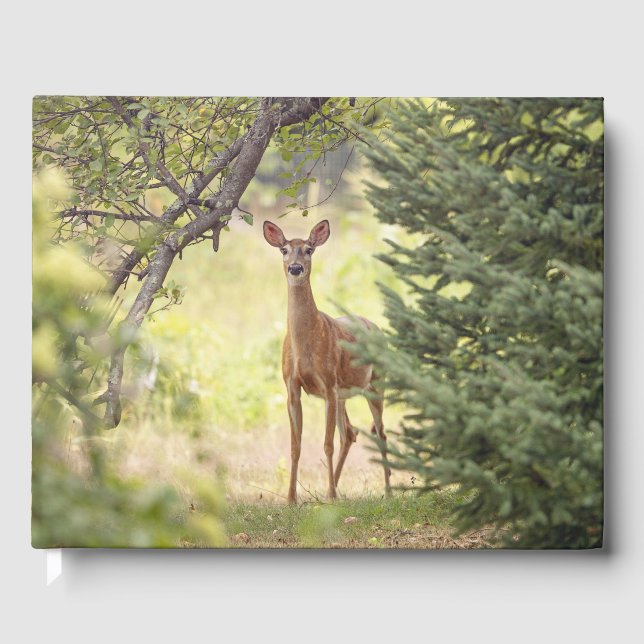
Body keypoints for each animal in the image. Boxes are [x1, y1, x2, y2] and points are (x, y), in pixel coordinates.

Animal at [263, 218, 392, 504]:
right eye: (284, 250)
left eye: (309, 249)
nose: (295, 268)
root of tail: (376, 327)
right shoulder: (292, 387)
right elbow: (295, 445)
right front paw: (291, 498)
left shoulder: (328, 383)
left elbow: (326, 443)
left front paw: (330, 495)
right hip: (344, 394)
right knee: (350, 432)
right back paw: (333, 488)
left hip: (375, 384)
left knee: (380, 433)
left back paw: (386, 490)